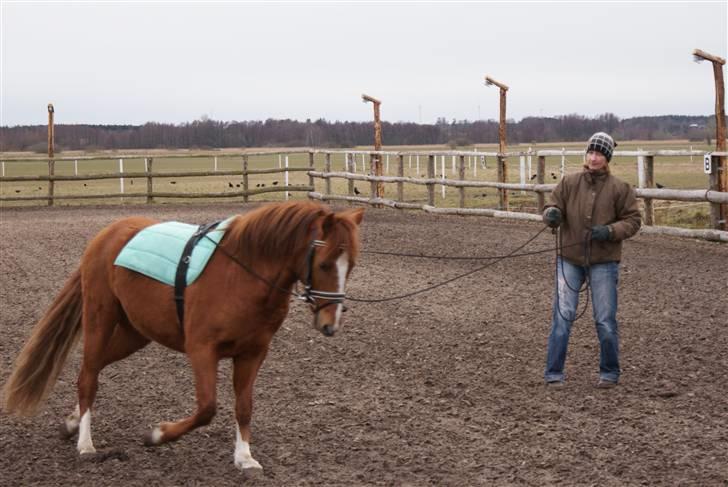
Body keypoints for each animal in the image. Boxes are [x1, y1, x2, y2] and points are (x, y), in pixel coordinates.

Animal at [0, 200, 364, 470]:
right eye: (326, 263)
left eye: (352, 265)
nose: (330, 324)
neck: (241, 276)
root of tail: (107, 234)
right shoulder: (202, 350)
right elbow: (207, 408)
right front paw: (157, 435)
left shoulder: (253, 353)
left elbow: (244, 406)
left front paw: (245, 458)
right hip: (99, 318)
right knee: (88, 376)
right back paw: (86, 444)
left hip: (136, 333)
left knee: (95, 367)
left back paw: (72, 423)